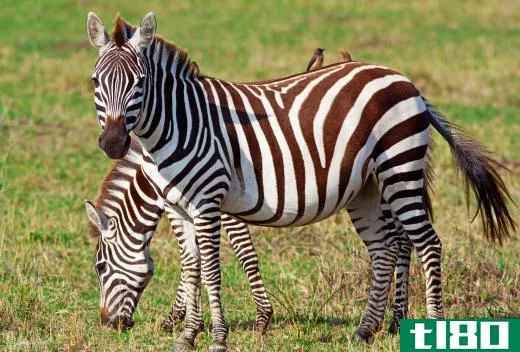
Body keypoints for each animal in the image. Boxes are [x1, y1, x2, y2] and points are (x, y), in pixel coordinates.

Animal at [85, 140, 274, 332]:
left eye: (100, 267)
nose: (106, 324)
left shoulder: (214, 203)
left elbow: (243, 252)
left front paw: (263, 316)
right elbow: (195, 261)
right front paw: (191, 319)